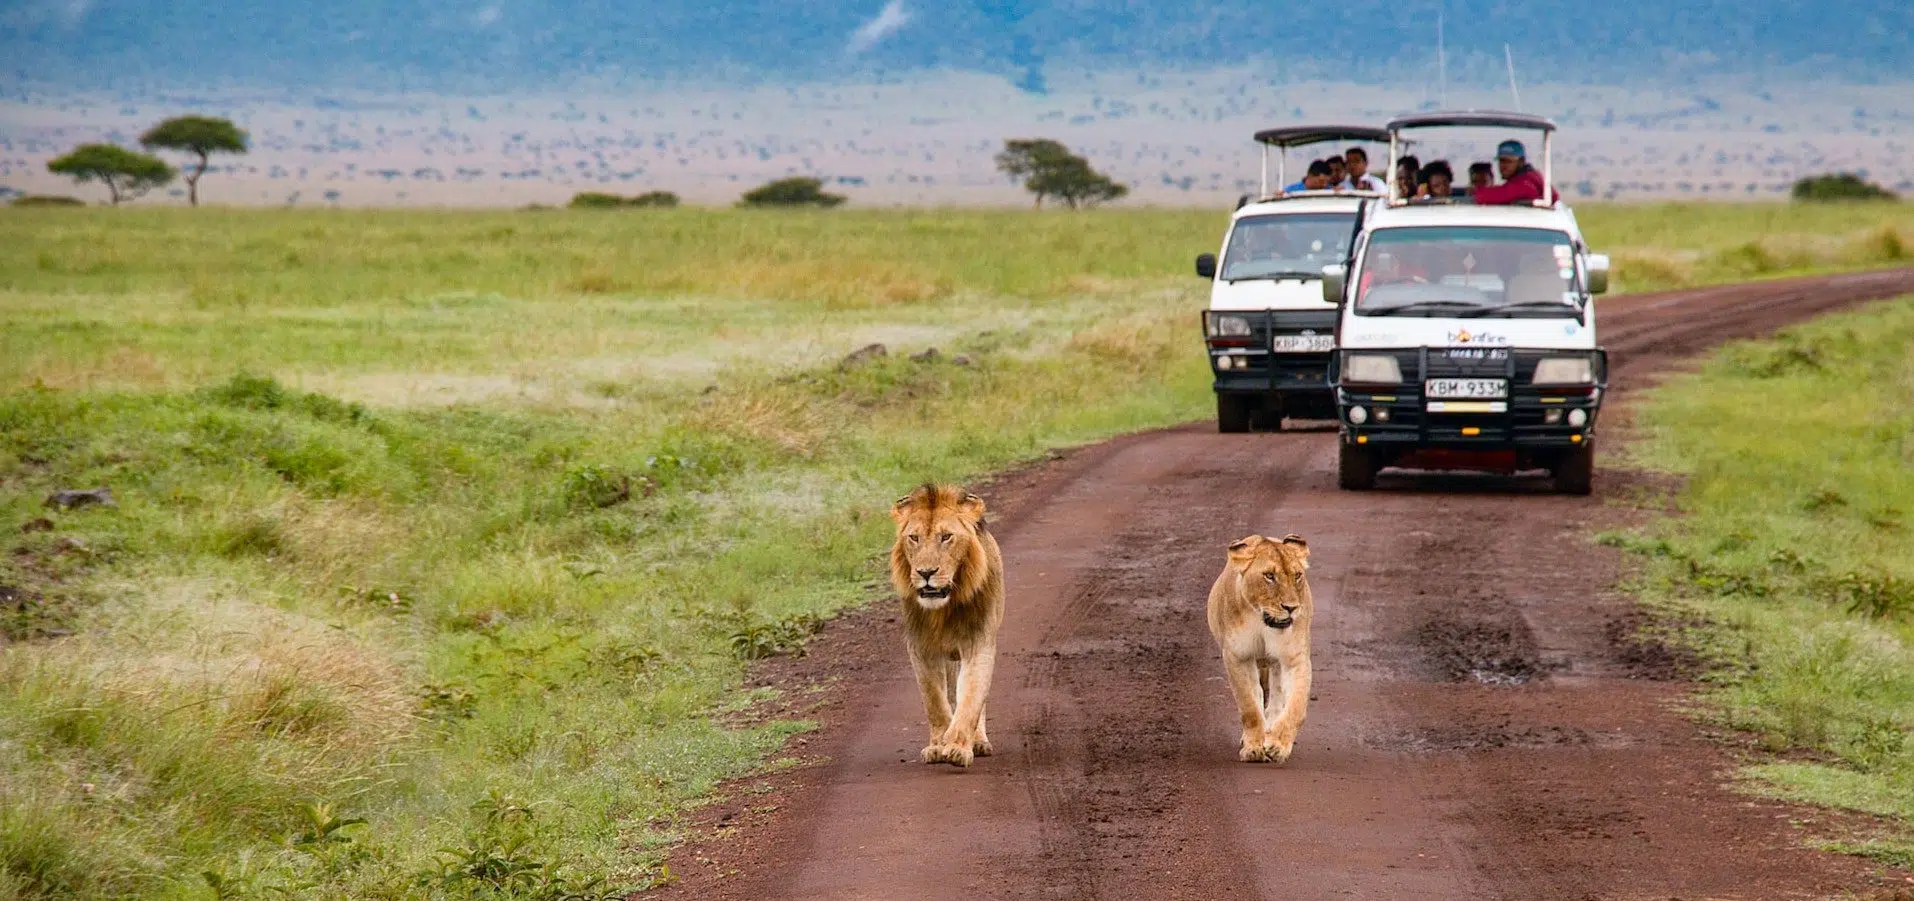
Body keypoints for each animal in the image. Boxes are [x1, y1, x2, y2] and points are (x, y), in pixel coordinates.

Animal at [884, 485, 1002, 769]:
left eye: (946, 537)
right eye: (914, 538)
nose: (926, 572)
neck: (943, 610)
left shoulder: (979, 645)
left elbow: (971, 699)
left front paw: (958, 748)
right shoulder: (921, 649)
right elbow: (935, 702)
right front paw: (938, 746)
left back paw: (979, 741)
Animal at [1209, 531, 1316, 765]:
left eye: (1297, 575)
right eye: (1269, 576)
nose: (1291, 608)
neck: (1263, 621)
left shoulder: (1295, 658)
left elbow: (1296, 707)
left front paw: (1277, 746)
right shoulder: (1238, 656)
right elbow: (1249, 706)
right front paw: (1253, 748)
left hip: (1275, 664)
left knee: (1276, 697)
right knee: (1258, 693)